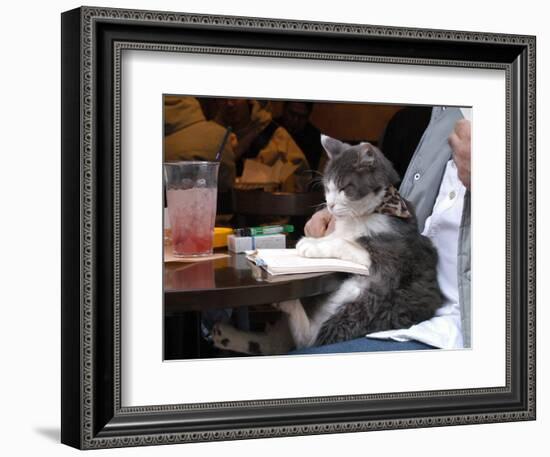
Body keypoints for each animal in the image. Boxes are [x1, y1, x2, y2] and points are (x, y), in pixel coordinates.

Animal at [211, 134, 444, 354]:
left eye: (344, 188)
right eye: (327, 188)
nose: (330, 205)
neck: (363, 215)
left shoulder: (389, 257)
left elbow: (344, 243)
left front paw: (310, 245)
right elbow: (335, 236)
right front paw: (315, 238)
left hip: (364, 303)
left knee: (310, 340)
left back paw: (287, 305)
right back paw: (225, 335)